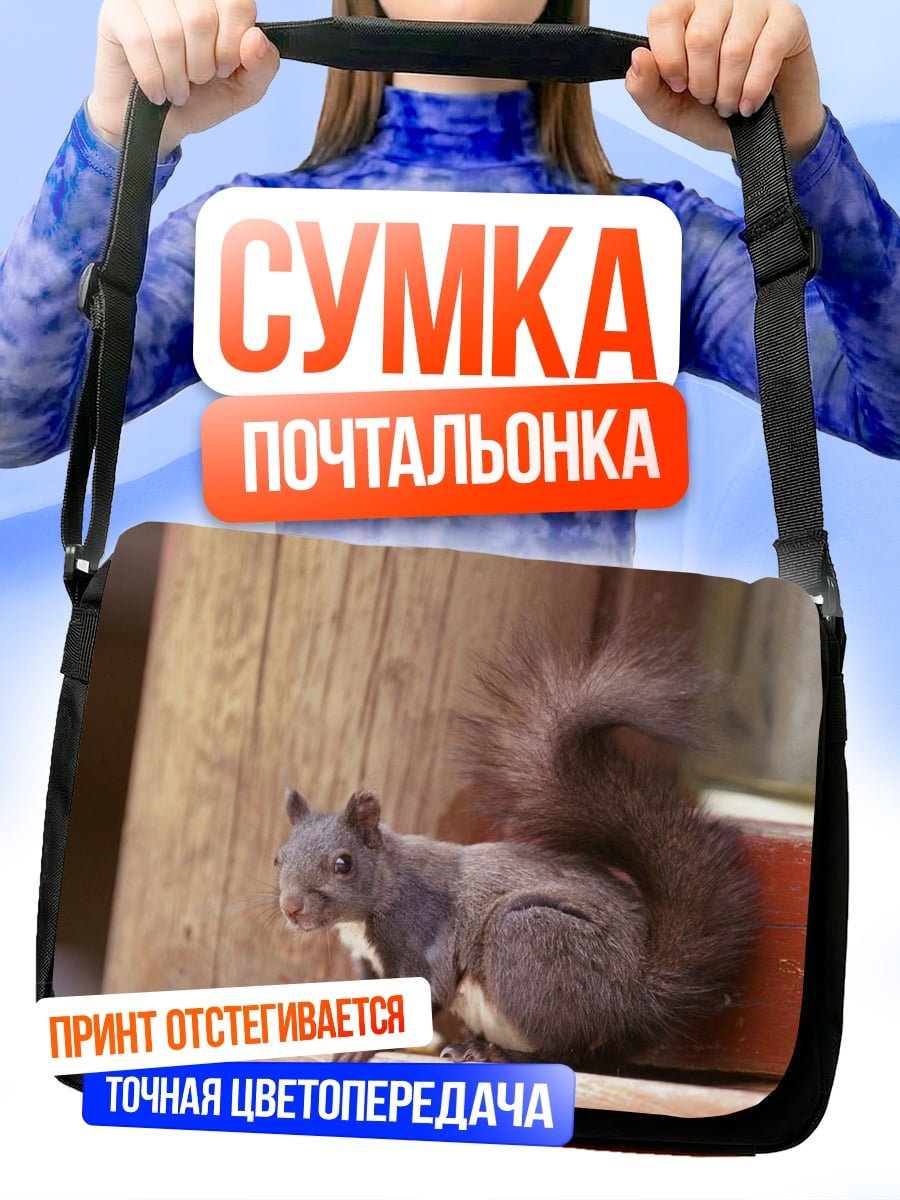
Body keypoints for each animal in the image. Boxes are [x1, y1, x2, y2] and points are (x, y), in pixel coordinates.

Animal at [274, 623, 760, 1065]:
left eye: (343, 863)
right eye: (278, 859)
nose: (292, 907)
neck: (379, 894)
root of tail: (640, 993)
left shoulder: (421, 932)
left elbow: (428, 989)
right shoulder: (369, 965)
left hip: (531, 941)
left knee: (569, 1052)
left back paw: (496, 1054)